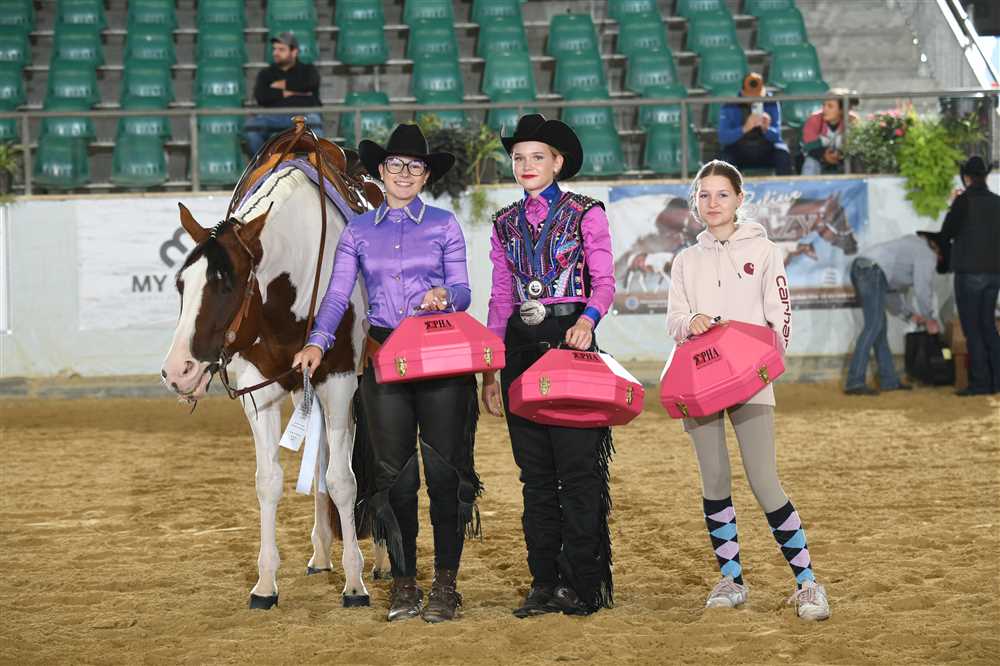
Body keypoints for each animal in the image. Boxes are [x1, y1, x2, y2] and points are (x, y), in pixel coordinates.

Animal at [160, 164, 388, 610]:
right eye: (181, 284)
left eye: (226, 285)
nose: (178, 371)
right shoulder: (258, 391)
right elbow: (269, 481)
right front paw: (265, 584)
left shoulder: (339, 386)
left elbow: (343, 480)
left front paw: (354, 583)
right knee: (319, 464)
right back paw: (321, 552)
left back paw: (383, 559)